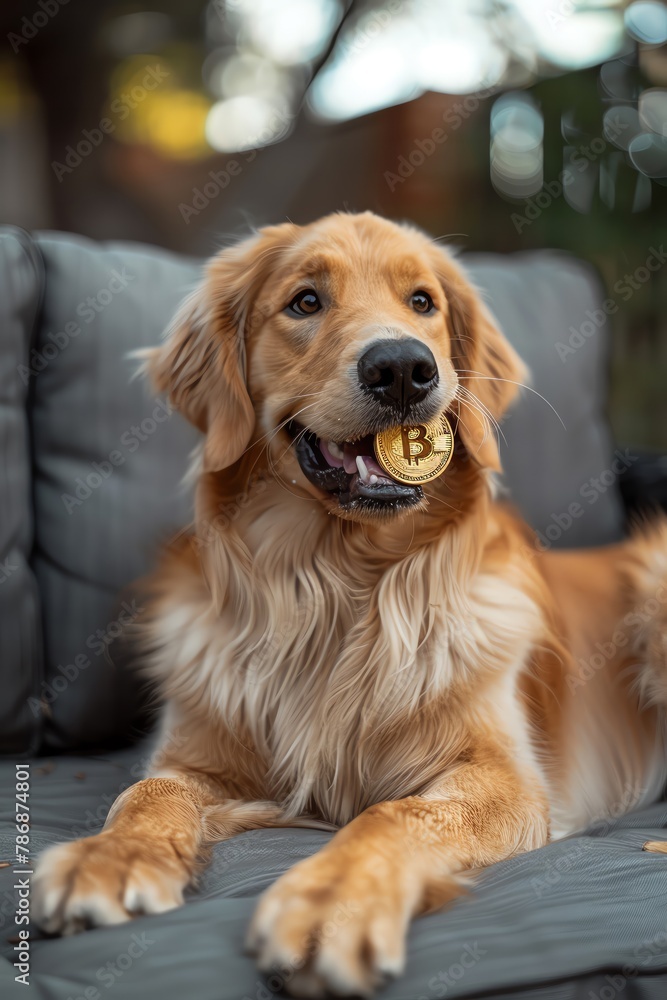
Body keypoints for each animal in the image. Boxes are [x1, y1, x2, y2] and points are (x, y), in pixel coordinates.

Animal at [34, 211, 664, 992]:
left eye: (423, 302)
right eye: (305, 301)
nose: (402, 368)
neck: (339, 587)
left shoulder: (502, 777)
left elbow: (392, 815)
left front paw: (332, 900)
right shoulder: (195, 756)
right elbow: (145, 795)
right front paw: (107, 856)